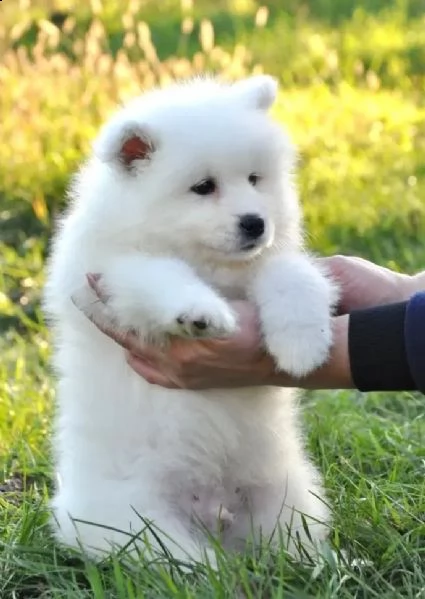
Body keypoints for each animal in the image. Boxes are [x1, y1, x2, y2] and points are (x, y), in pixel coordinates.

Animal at [44, 75, 338, 568]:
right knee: (180, 560)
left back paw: (329, 564)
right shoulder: (113, 275)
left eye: (255, 180)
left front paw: (303, 345)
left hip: (286, 501)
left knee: (292, 543)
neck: (210, 266)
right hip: (135, 523)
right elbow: (162, 276)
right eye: (203, 187)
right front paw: (201, 313)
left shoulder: (266, 263)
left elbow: (291, 275)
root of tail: (214, 512)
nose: (256, 223)